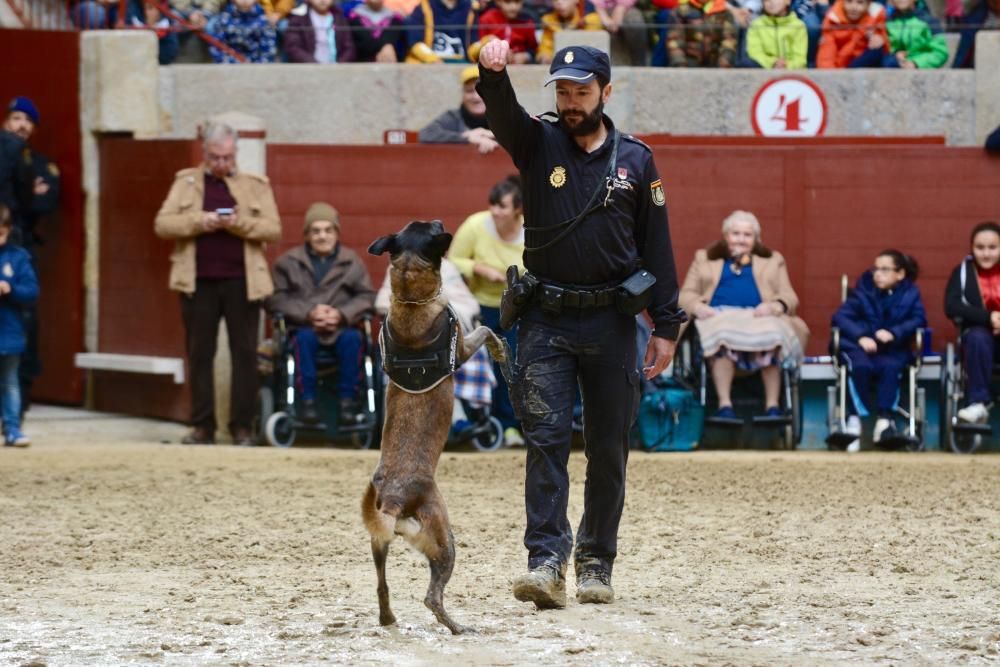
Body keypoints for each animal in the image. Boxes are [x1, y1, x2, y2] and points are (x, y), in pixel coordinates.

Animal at [364, 222, 512, 636]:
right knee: (432, 596)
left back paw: (388, 618)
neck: (410, 298)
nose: (441, 223)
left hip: (379, 543)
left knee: (381, 586)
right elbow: (486, 330)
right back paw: (459, 628)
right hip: (445, 539)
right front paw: (501, 350)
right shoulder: (462, 349)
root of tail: (395, 500)